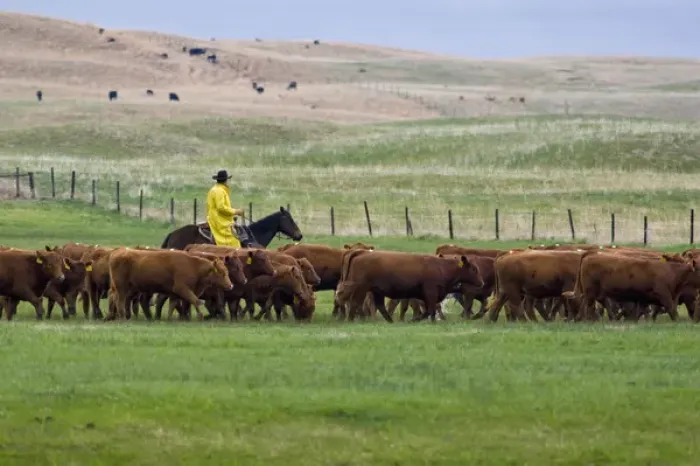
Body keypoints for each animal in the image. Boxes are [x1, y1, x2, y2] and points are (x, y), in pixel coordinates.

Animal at [336, 250, 482, 323]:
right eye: (474, 269)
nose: (482, 283)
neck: (441, 267)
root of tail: (362, 253)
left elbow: (430, 310)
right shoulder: (430, 292)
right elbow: (429, 310)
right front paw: (415, 320)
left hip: (376, 291)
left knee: (379, 306)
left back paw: (390, 322)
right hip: (360, 288)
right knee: (355, 303)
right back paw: (350, 320)